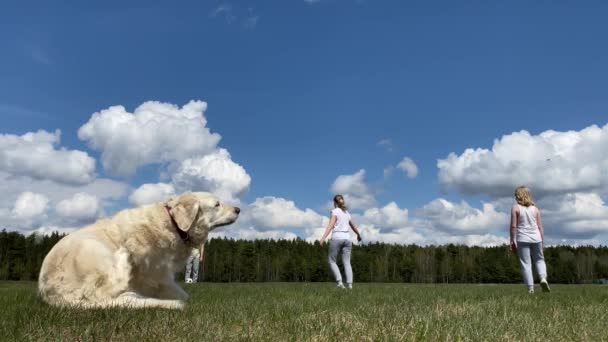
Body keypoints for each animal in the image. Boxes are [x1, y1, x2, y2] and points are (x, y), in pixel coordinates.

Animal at [38, 192, 240, 310]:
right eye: (217, 204)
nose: (238, 209)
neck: (172, 225)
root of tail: (53, 296)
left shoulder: (160, 275)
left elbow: (184, 294)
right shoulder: (153, 272)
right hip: (94, 248)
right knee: (105, 290)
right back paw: (124, 258)